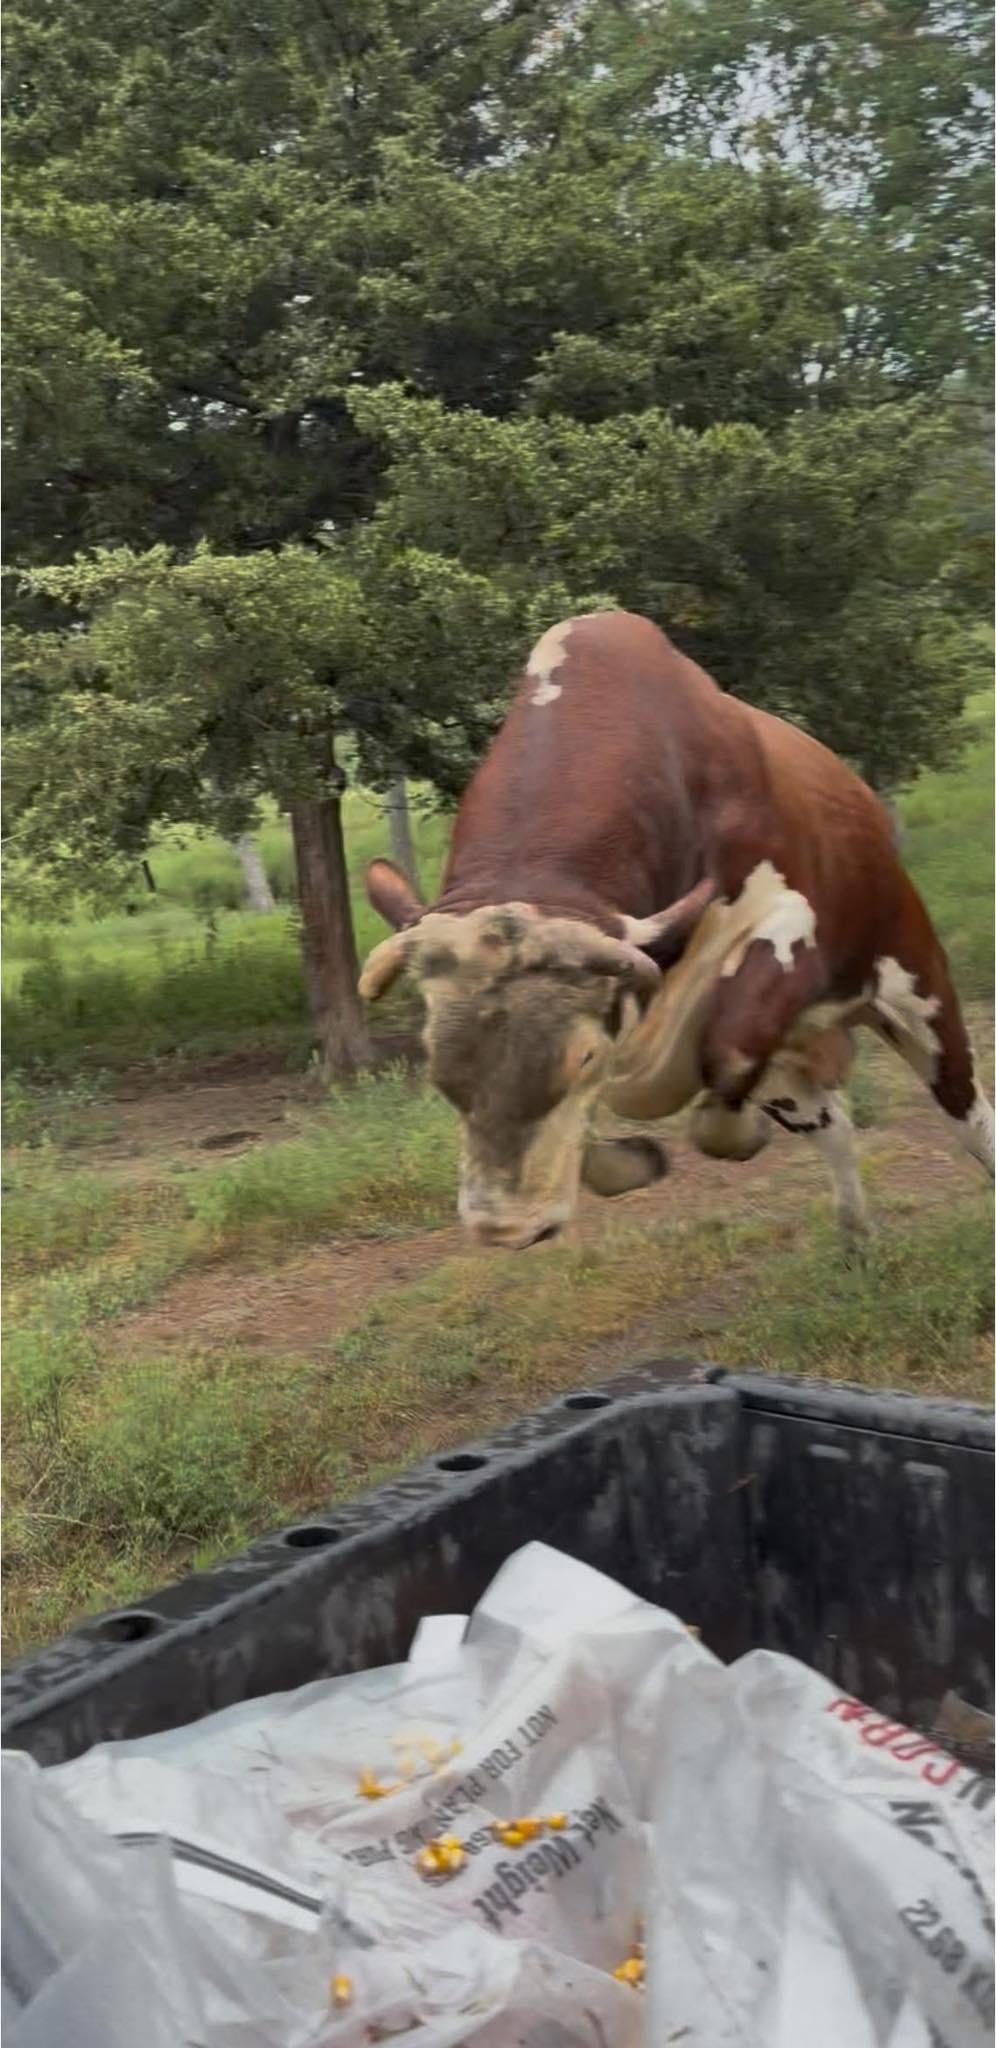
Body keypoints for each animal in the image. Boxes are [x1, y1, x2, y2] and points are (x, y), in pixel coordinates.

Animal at [360, 611, 994, 1252]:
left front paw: (739, 1137)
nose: (506, 1226)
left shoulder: (789, 920)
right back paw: (857, 1241)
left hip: (913, 987)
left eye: (585, 1057)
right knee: (833, 1128)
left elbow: (727, 1060)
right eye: (438, 1067)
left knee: (969, 1117)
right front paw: (632, 1161)